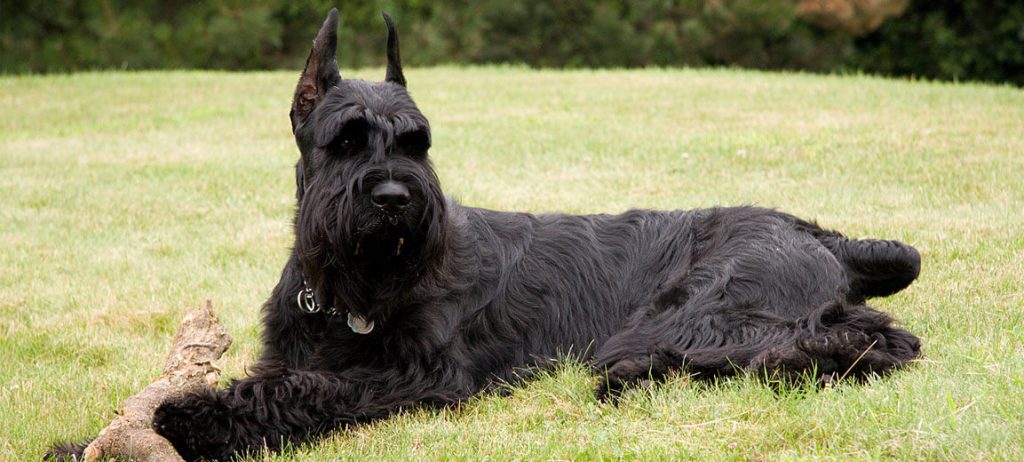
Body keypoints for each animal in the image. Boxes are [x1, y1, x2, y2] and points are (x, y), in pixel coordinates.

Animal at [48, 8, 925, 462]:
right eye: (346, 139)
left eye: (418, 142)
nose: (396, 198)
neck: (346, 292)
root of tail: (825, 236)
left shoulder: (417, 376)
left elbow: (298, 392)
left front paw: (185, 421)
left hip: (698, 315)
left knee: (855, 342)